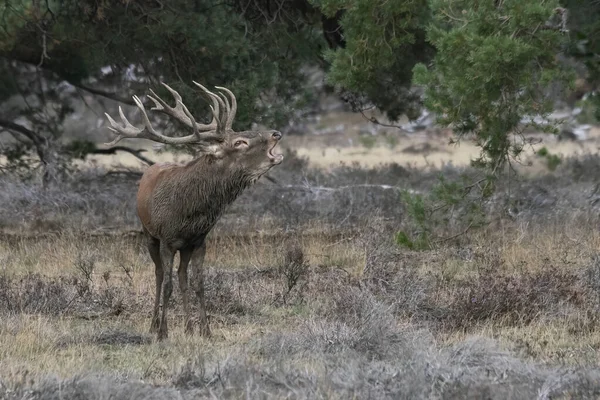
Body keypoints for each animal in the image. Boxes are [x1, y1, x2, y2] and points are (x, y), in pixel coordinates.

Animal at [103, 81, 284, 340]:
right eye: (239, 142)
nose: (275, 133)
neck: (189, 213)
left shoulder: (199, 241)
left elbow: (198, 283)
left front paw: (205, 330)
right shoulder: (167, 239)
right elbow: (167, 285)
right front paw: (163, 332)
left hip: (184, 247)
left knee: (182, 276)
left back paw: (188, 327)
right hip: (148, 234)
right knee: (159, 275)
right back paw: (153, 324)